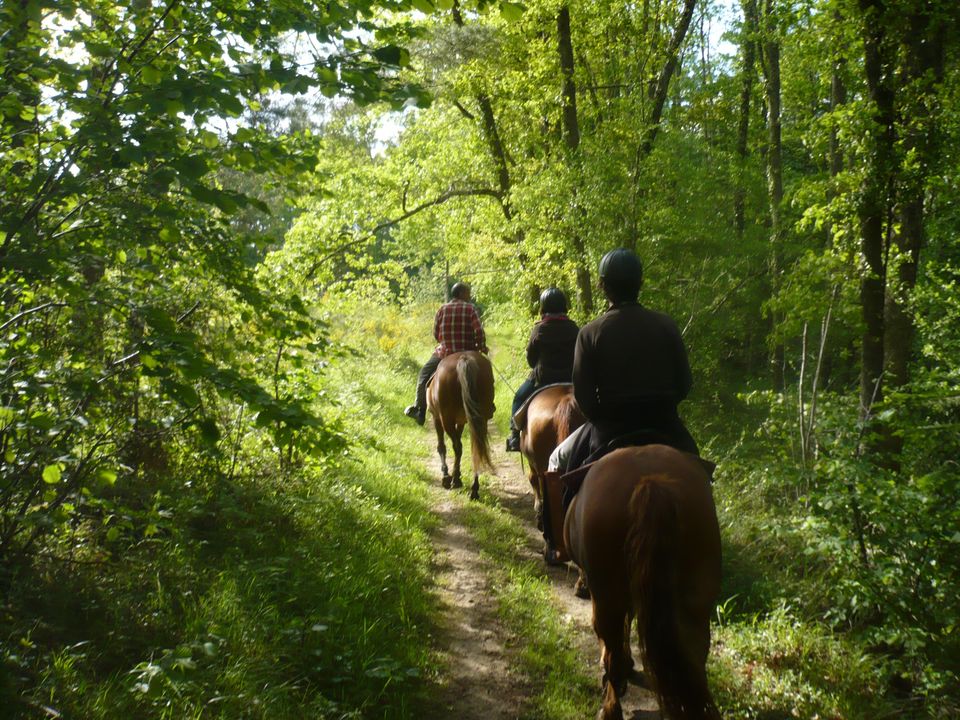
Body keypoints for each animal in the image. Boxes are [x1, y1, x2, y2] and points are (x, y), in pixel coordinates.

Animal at [426, 350, 496, 500]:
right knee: (476, 448)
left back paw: (454, 481)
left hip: (446, 419)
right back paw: (474, 489)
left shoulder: (436, 418)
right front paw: (456, 476)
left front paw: (447, 476)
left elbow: (442, 446)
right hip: (479, 419)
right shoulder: (461, 421)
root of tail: (464, 359)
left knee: (457, 446)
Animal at [564, 444, 720, 720]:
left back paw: (610, 708)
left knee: (612, 651)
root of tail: (652, 482)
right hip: (697, 600)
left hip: (607, 597)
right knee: (695, 655)